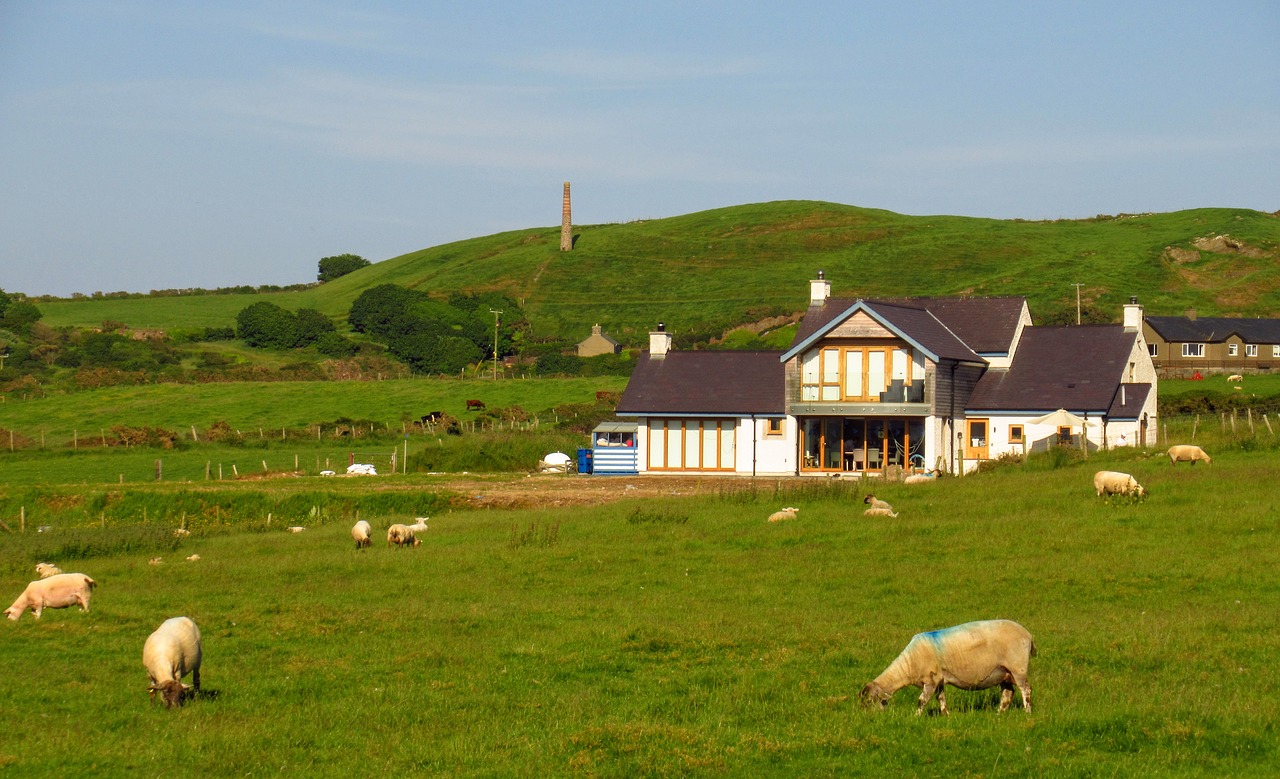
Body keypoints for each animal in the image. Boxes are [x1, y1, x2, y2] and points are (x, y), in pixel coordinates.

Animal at [860, 616, 1039, 716]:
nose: (868, 719)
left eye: (869, 702)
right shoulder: (938, 680)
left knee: (1026, 690)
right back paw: (999, 713)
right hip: (1004, 672)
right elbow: (941, 698)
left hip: (1018, 667)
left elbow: (921, 701)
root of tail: (1028, 635)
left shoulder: (931, 680)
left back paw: (1027, 712)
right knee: (1008, 693)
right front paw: (946, 714)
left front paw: (915, 716)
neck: (908, 665)